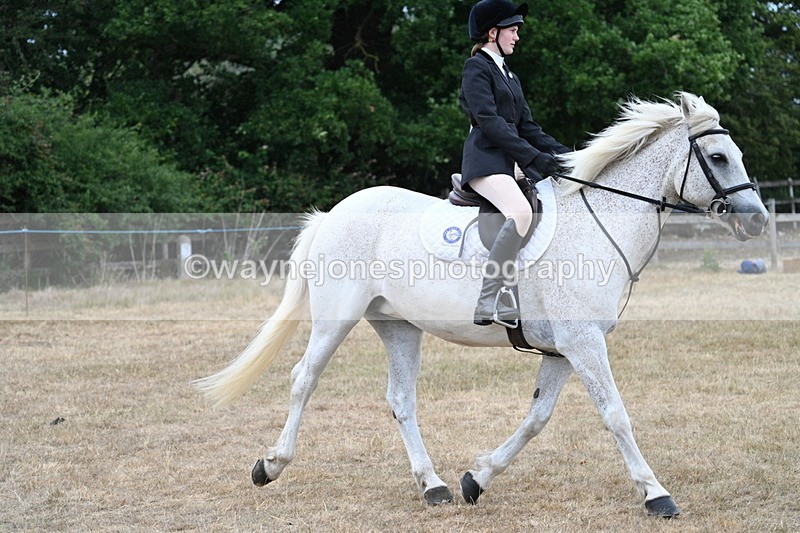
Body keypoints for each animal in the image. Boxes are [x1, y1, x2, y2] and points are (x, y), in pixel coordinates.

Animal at [193, 93, 768, 517]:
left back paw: (434, 486)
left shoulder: (563, 350)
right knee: (304, 379)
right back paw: (270, 465)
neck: (598, 222)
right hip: (337, 318)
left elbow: (537, 418)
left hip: (399, 325)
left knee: (401, 400)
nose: (758, 219)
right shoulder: (583, 343)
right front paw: (656, 494)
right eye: (718, 157)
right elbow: (616, 415)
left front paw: (476, 479)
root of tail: (334, 212)